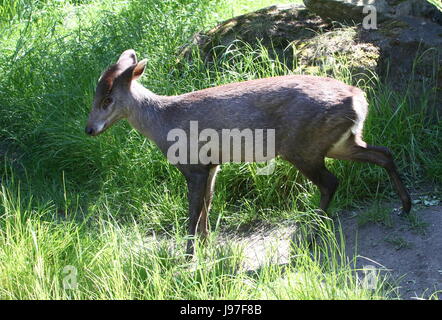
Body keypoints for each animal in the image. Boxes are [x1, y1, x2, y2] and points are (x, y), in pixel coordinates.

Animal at [85, 49, 410, 255]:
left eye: (108, 99)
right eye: (95, 95)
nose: (89, 129)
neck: (162, 121)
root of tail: (359, 99)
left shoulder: (193, 164)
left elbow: (192, 213)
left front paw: (188, 255)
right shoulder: (212, 165)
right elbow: (207, 206)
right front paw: (205, 246)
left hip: (302, 146)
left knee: (331, 182)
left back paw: (311, 234)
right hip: (339, 142)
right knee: (383, 153)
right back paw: (405, 206)